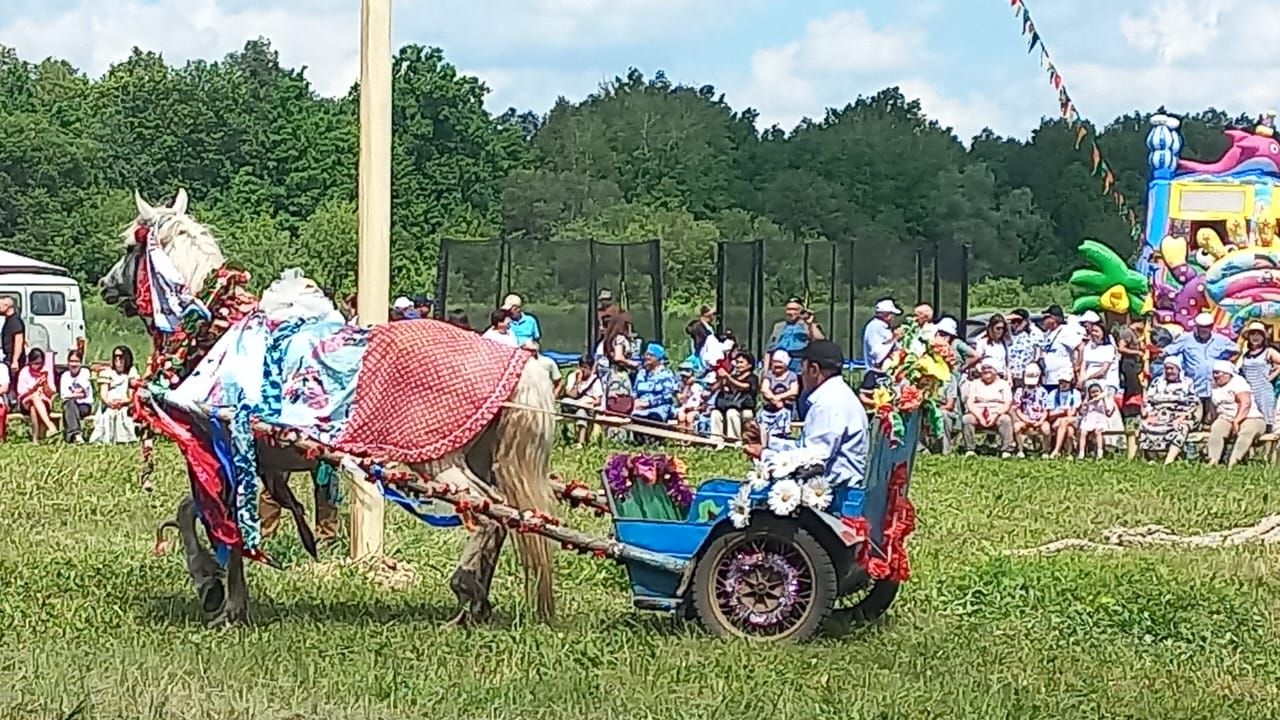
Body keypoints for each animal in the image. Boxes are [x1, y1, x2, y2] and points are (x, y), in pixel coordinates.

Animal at [97, 188, 558, 625]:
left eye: (129, 245)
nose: (104, 284)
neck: (212, 331)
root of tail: (514, 359)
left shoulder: (221, 452)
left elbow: (214, 525)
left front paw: (218, 593)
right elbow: (205, 516)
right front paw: (222, 592)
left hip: (437, 460)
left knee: (487, 515)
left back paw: (465, 594)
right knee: (502, 514)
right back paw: (478, 604)